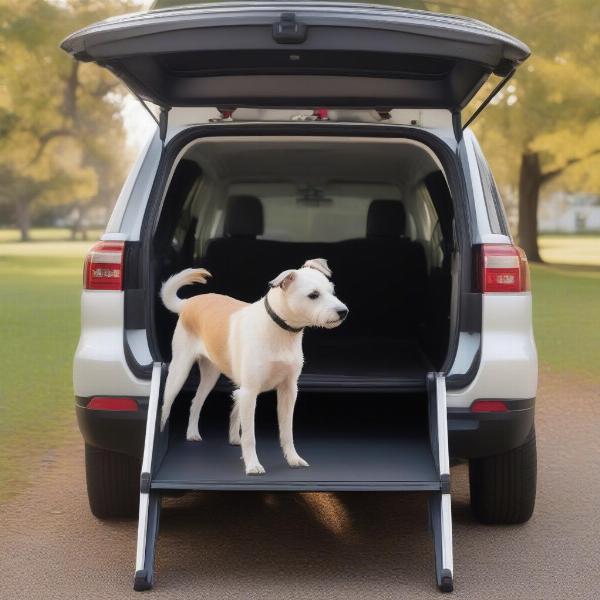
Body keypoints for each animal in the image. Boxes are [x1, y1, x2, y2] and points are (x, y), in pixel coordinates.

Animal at [159, 260, 350, 476]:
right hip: (180, 370)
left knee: (200, 402)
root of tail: (189, 303)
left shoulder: (288, 391)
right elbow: (250, 436)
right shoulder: (250, 393)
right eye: (313, 295)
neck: (280, 331)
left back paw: (213, 435)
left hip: (213, 375)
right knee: (169, 404)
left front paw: (293, 458)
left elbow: (287, 432)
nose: (343, 311)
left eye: (332, 291)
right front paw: (252, 465)